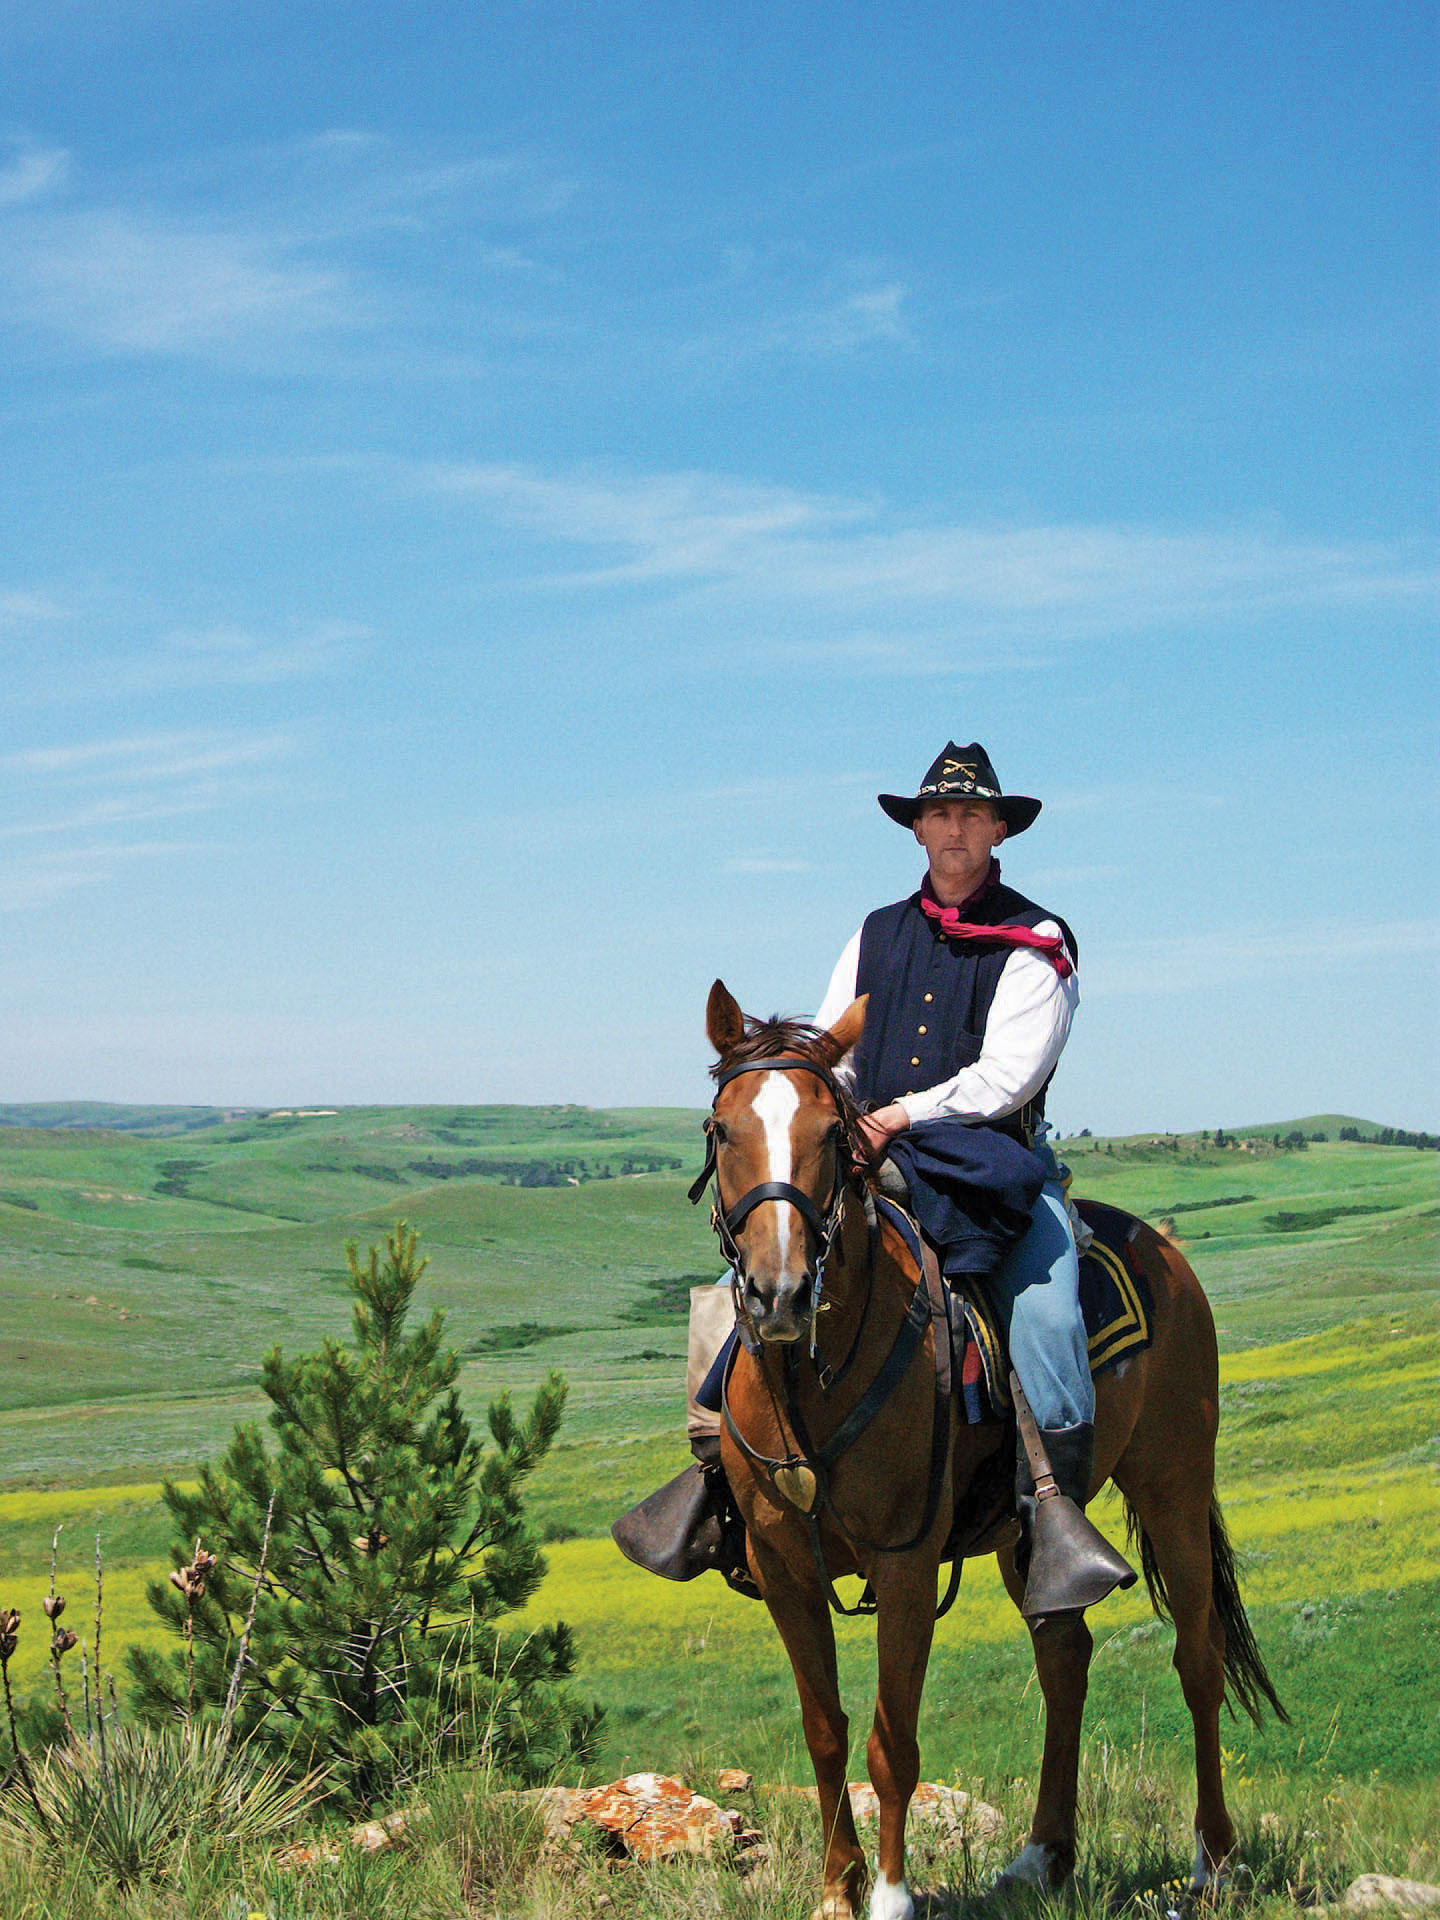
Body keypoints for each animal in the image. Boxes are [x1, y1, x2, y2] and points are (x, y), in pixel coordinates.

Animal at [706, 983, 1282, 1920]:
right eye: (723, 1129)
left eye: (832, 1133)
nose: (779, 1292)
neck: (811, 1381)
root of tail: (1165, 1251)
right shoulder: (782, 1564)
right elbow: (825, 1731)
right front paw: (836, 1890)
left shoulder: (905, 1563)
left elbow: (892, 1742)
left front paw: (890, 1895)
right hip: (1030, 1538)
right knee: (1065, 1660)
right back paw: (1043, 1855)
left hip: (1173, 1483)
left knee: (1196, 1658)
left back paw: (1213, 1861)